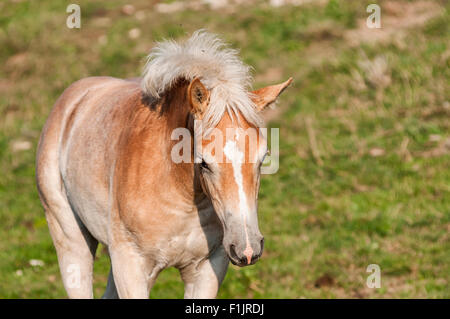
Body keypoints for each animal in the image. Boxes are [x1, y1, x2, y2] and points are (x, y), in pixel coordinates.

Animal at [37, 31, 292, 298]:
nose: (248, 249)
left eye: (263, 158)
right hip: (71, 239)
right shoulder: (131, 266)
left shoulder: (208, 268)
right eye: (204, 163)